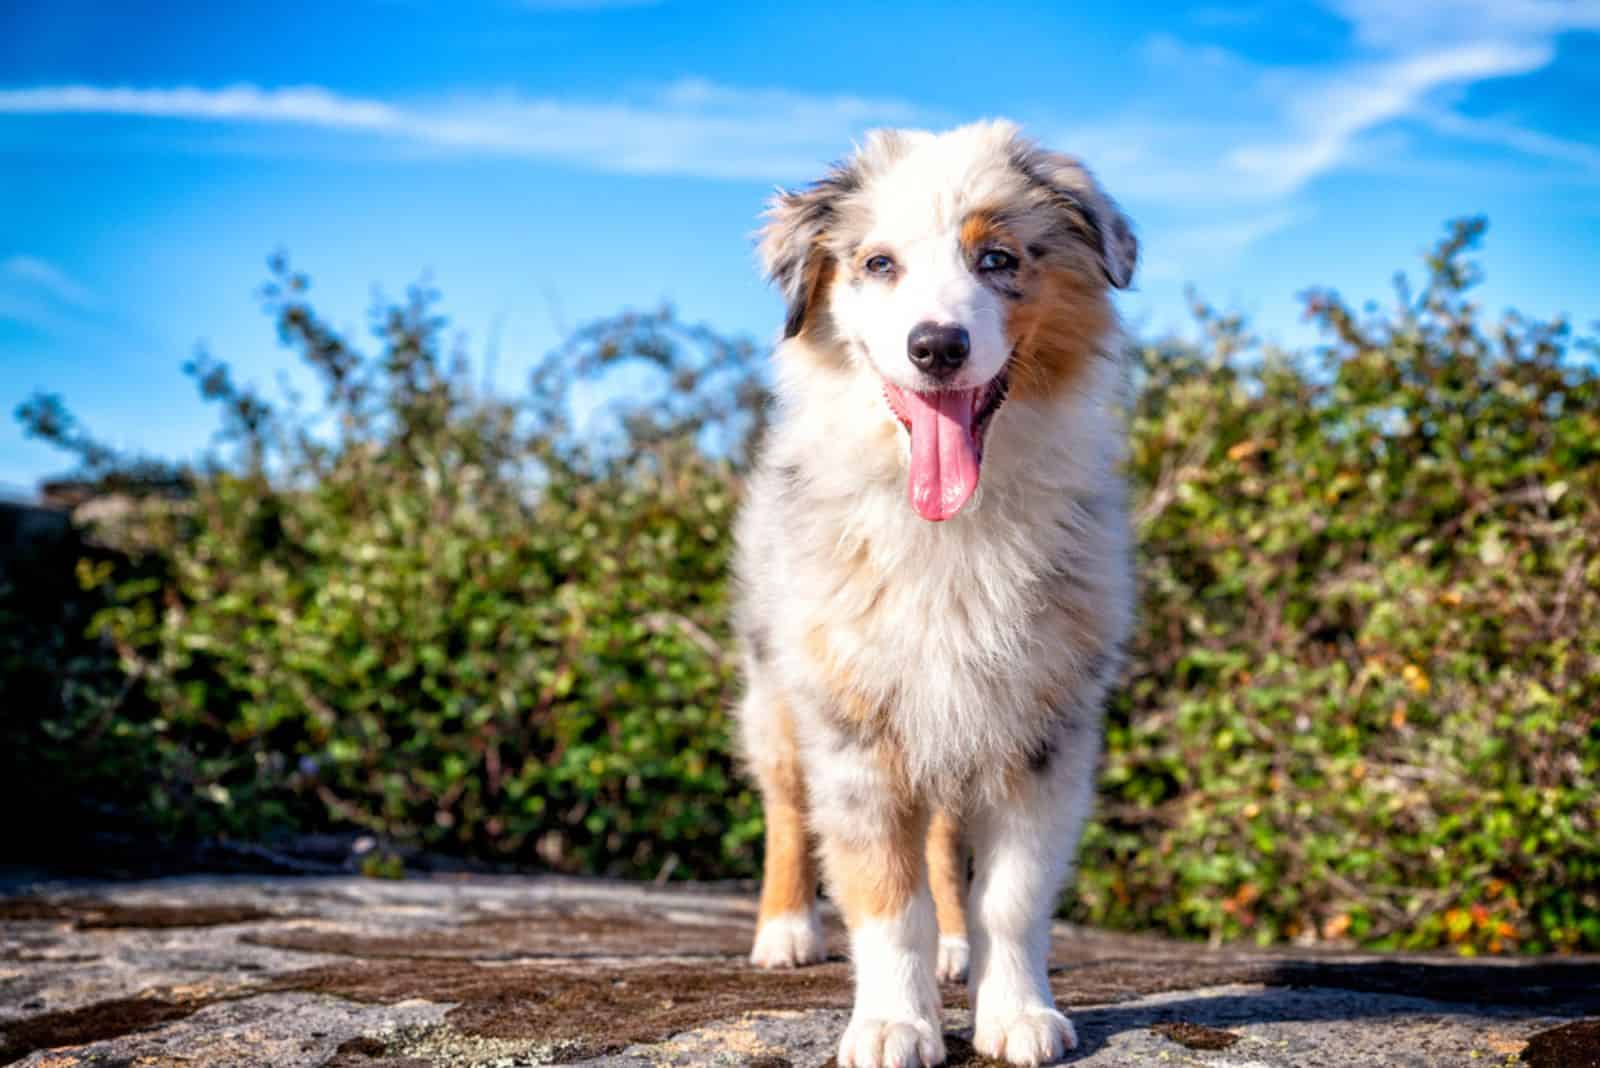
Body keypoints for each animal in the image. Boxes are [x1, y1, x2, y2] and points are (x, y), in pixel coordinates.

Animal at [736, 120, 1139, 1061]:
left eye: (997, 259)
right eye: (879, 264)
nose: (937, 347)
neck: (953, 526)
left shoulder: (1044, 725)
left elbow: (1012, 895)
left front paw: (1018, 1015)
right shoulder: (852, 727)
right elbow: (887, 898)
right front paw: (891, 1023)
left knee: (948, 842)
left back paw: (958, 951)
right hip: (774, 692)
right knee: (784, 806)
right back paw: (785, 930)